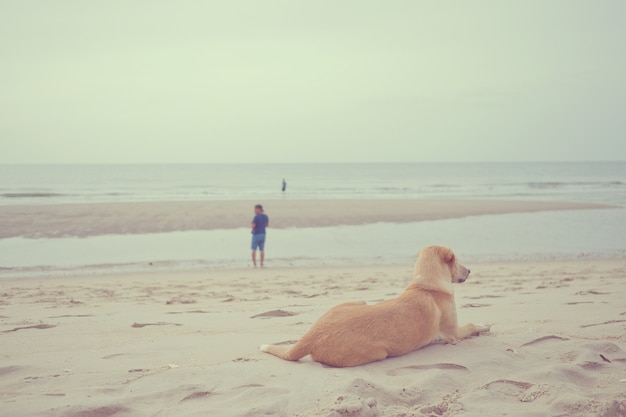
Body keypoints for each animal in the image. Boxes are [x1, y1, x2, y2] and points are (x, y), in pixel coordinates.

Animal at [258, 245, 488, 366]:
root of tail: (311, 335)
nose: (470, 271)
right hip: (378, 352)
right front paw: (483, 326)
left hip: (358, 301)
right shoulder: (453, 334)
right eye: (456, 260)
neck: (426, 285)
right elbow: (471, 326)